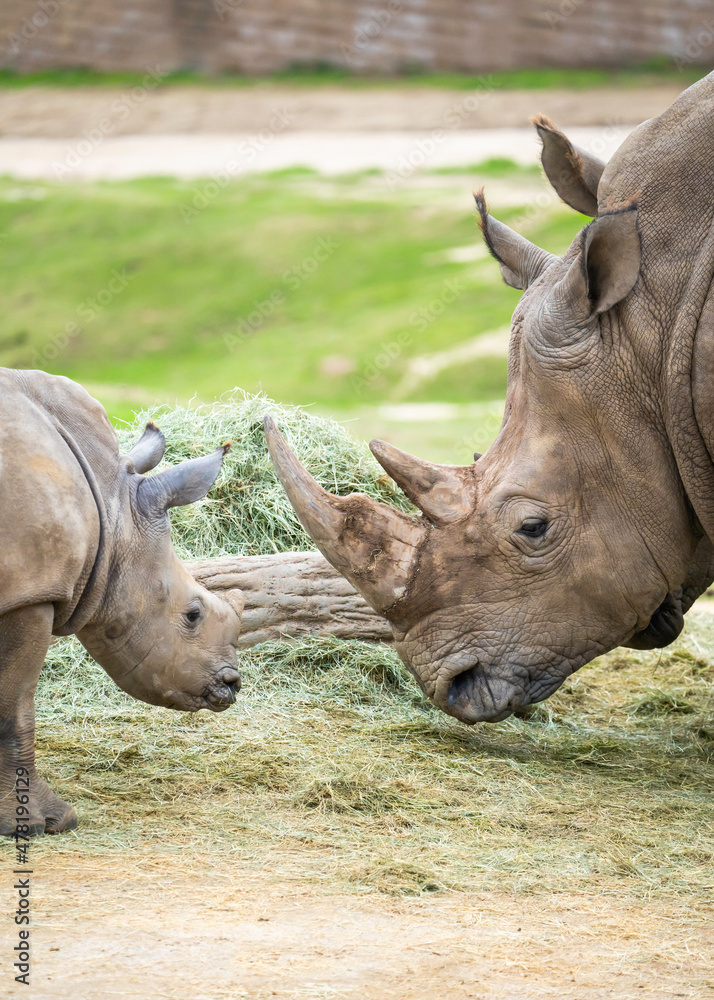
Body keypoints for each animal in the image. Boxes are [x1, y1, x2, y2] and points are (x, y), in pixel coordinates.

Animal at [0, 369, 243, 835]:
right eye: (193, 615)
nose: (231, 684)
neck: (112, 505)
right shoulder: (30, 593)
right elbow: (14, 705)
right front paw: (42, 823)